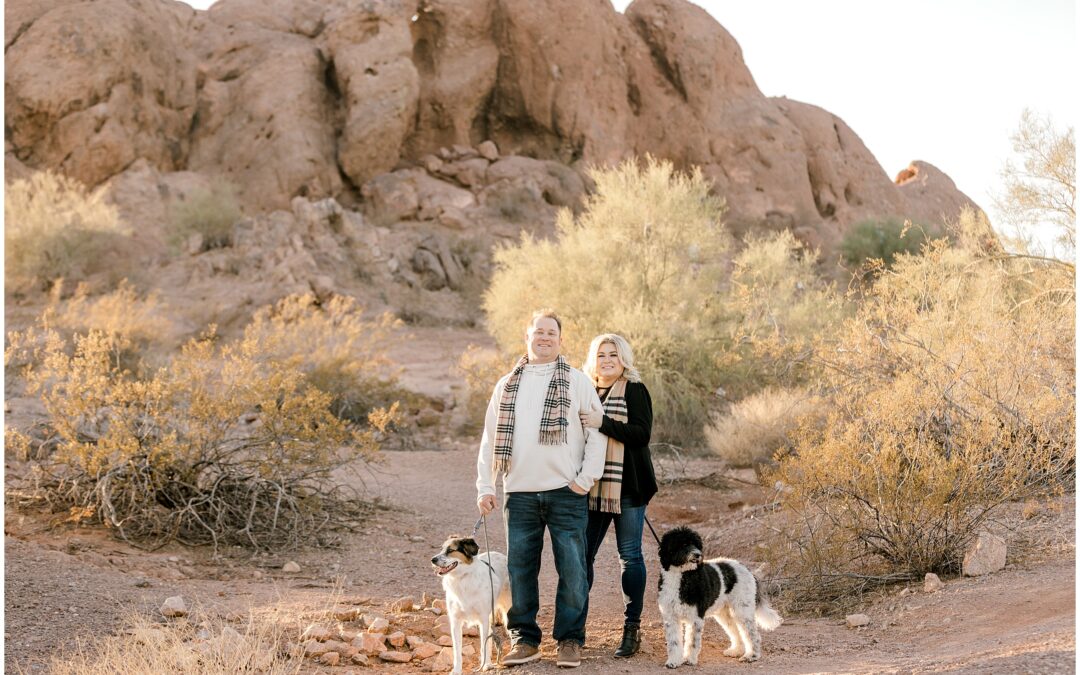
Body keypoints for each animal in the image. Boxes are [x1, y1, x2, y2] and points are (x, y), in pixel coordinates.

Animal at [429, 533, 509, 669]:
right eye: (441, 549)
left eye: (450, 550)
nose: (433, 559)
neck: (461, 579)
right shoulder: (455, 620)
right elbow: (457, 650)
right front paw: (456, 670)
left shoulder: (483, 618)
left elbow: (483, 645)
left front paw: (485, 665)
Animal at [652, 527, 781, 665]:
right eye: (684, 544)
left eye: (696, 544)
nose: (698, 554)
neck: (682, 576)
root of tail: (749, 571)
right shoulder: (671, 617)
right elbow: (674, 642)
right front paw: (674, 661)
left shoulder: (695, 617)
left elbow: (692, 642)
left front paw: (689, 660)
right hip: (724, 614)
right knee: (736, 631)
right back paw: (736, 651)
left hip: (742, 610)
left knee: (752, 634)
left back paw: (752, 655)